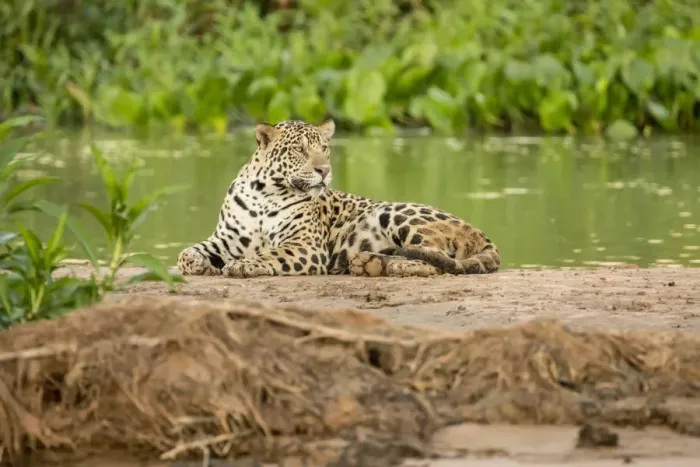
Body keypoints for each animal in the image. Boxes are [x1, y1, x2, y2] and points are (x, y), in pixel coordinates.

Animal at [177, 118, 500, 278]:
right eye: (299, 150)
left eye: (324, 148)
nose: (324, 170)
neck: (264, 193)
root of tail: (480, 233)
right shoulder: (226, 239)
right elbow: (186, 253)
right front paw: (203, 265)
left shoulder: (305, 245)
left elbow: (270, 253)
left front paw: (244, 265)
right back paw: (370, 263)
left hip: (397, 212)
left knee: (436, 259)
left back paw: (386, 266)